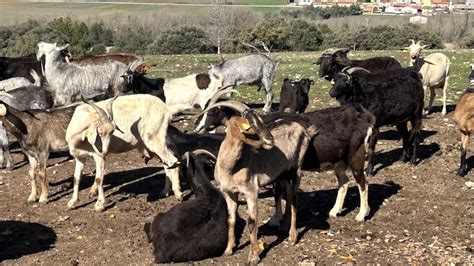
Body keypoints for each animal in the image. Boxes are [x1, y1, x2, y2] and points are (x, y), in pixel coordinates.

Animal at [202, 100, 316, 264]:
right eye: (248, 125)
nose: (270, 139)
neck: (232, 168)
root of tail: (304, 130)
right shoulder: (229, 192)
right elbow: (231, 219)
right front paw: (228, 250)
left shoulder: (251, 191)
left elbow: (251, 222)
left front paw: (253, 257)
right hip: (283, 174)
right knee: (288, 194)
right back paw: (284, 226)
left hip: (296, 169)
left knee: (294, 199)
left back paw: (292, 236)